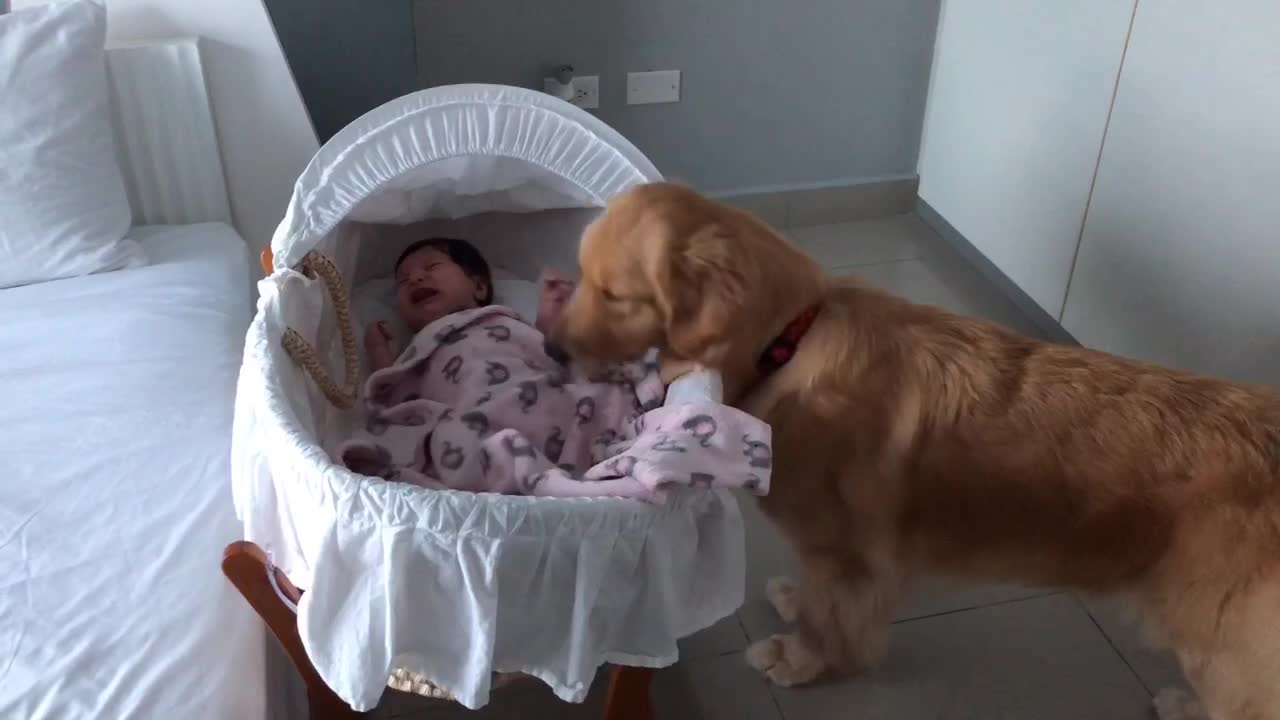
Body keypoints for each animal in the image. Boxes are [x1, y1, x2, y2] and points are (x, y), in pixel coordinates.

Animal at [552, 180, 1280, 717]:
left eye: (615, 294)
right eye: (579, 275)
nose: (554, 349)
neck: (788, 341)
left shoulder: (848, 557)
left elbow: (829, 620)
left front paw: (801, 659)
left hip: (1227, 660)